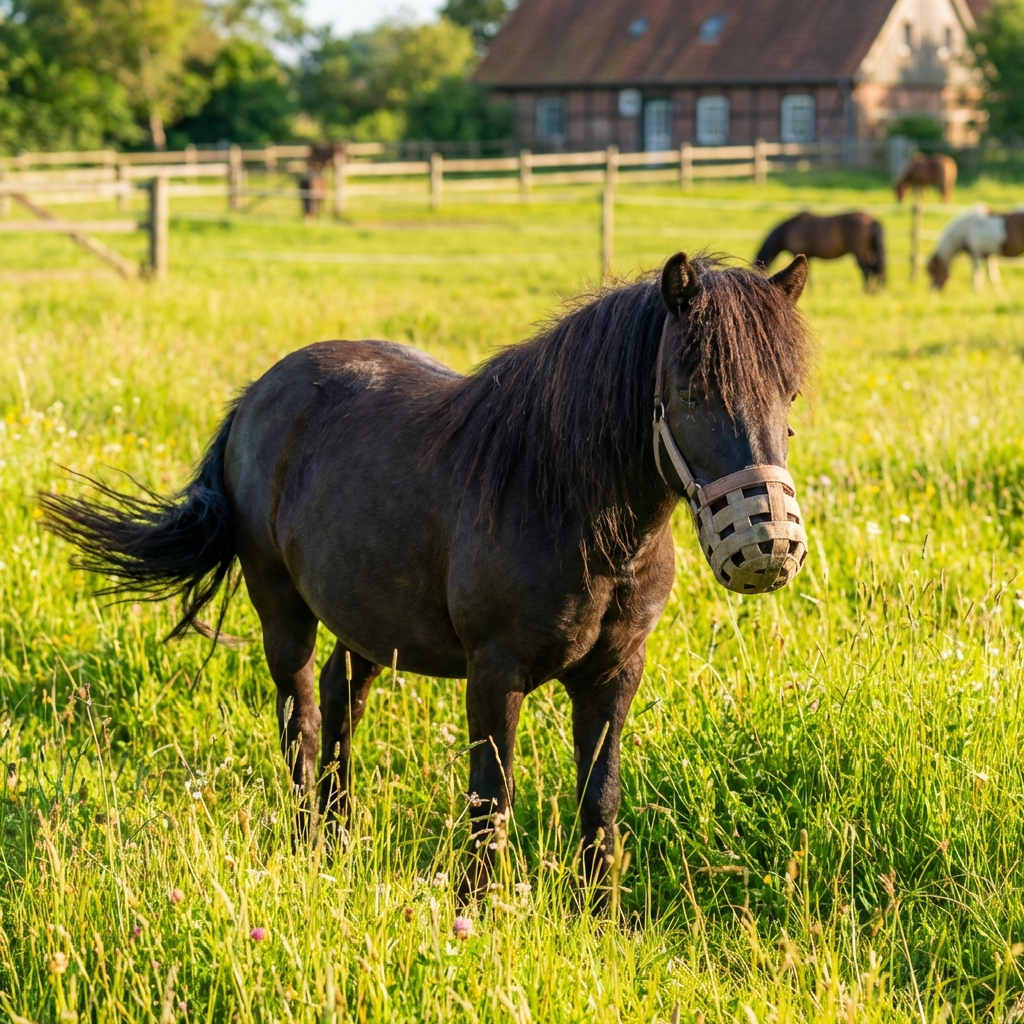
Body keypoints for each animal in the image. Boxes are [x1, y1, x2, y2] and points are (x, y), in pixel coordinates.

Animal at [40, 252, 812, 898]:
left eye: (788, 393)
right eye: (691, 388)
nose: (769, 541)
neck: (565, 501)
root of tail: (259, 393)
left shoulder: (615, 672)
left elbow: (600, 801)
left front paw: (604, 921)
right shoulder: (494, 674)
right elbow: (490, 798)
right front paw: (477, 914)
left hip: (370, 619)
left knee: (340, 698)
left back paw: (338, 836)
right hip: (280, 605)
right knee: (302, 715)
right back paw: (307, 842)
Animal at [755, 212, 886, 291]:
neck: (788, 230)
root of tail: (872, 220)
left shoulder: (800, 252)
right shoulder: (808, 256)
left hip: (859, 252)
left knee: (867, 270)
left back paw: (866, 291)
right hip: (870, 251)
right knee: (875, 269)